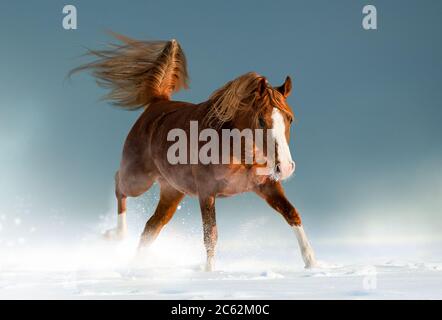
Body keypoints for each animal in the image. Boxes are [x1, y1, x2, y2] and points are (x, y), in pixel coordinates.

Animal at [71, 32, 316, 268]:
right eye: (262, 120)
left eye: (290, 119)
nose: (285, 167)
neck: (237, 152)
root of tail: (157, 103)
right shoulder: (207, 192)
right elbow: (211, 235)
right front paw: (209, 272)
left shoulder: (267, 185)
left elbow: (292, 214)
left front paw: (313, 264)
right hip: (138, 180)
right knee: (119, 185)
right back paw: (116, 235)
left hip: (171, 191)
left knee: (151, 228)